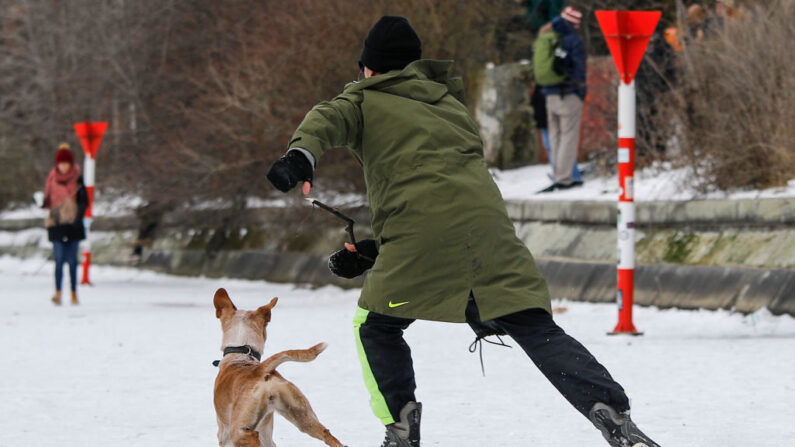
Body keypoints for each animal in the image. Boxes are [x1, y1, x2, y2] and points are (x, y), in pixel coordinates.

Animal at [213, 288, 344, 446]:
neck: (243, 351)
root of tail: (261, 370)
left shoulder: (223, 435)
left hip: (239, 429)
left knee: (249, 435)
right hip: (302, 415)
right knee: (328, 435)